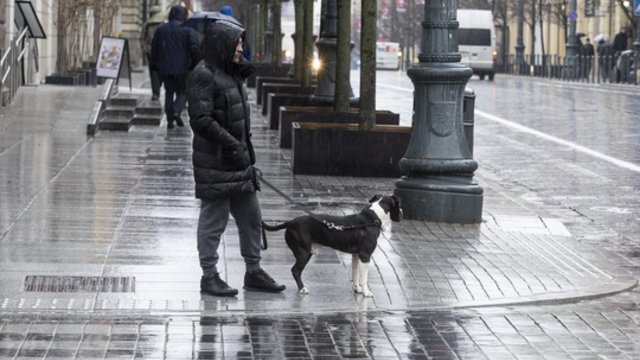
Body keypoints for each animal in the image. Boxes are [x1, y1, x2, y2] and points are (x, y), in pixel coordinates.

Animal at [260, 195, 400, 296]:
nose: (402, 212)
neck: (372, 218)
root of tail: (291, 222)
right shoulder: (365, 256)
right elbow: (364, 277)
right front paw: (366, 292)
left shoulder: (356, 255)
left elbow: (355, 274)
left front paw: (357, 289)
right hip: (303, 252)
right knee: (295, 270)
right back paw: (302, 289)